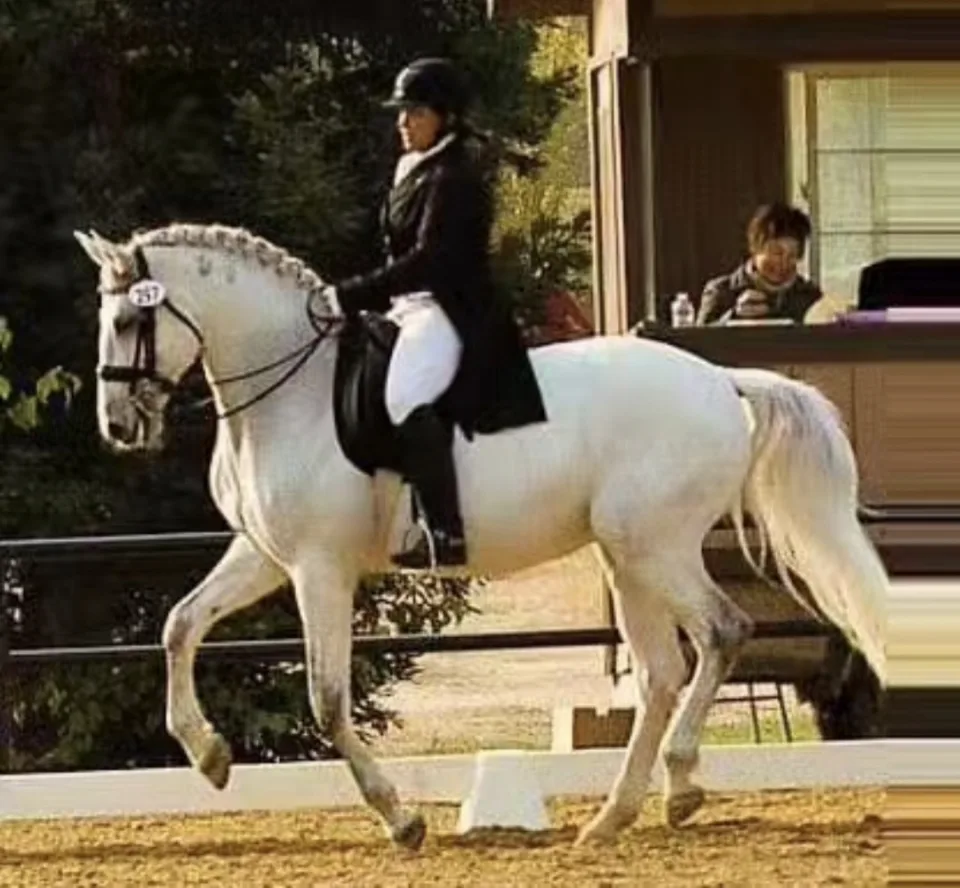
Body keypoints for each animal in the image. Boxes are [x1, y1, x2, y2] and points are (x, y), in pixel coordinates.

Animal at [73, 223, 887, 850]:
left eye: (128, 322)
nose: (117, 427)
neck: (291, 393)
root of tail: (721, 381)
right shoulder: (266, 555)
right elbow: (180, 626)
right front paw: (208, 754)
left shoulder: (318, 567)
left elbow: (327, 697)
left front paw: (399, 820)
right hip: (626, 556)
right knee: (663, 671)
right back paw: (616, 816)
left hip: (655, 547)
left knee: (722, 631)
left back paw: (677, 788)